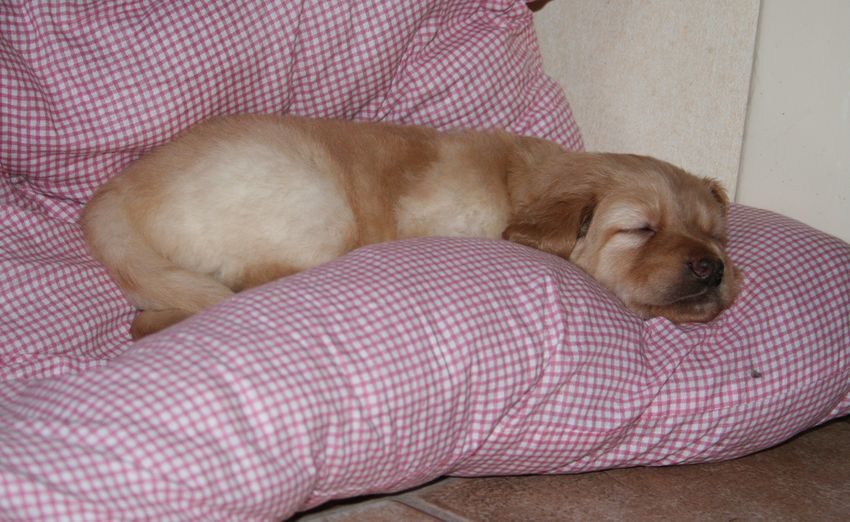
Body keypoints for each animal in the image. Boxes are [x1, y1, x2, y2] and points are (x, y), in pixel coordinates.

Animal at [81, 115, 739, 338]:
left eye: (715, 234)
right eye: (641, 230)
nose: (714, 269)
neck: (518, 187)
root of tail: (111, 196)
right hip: (315, 202)